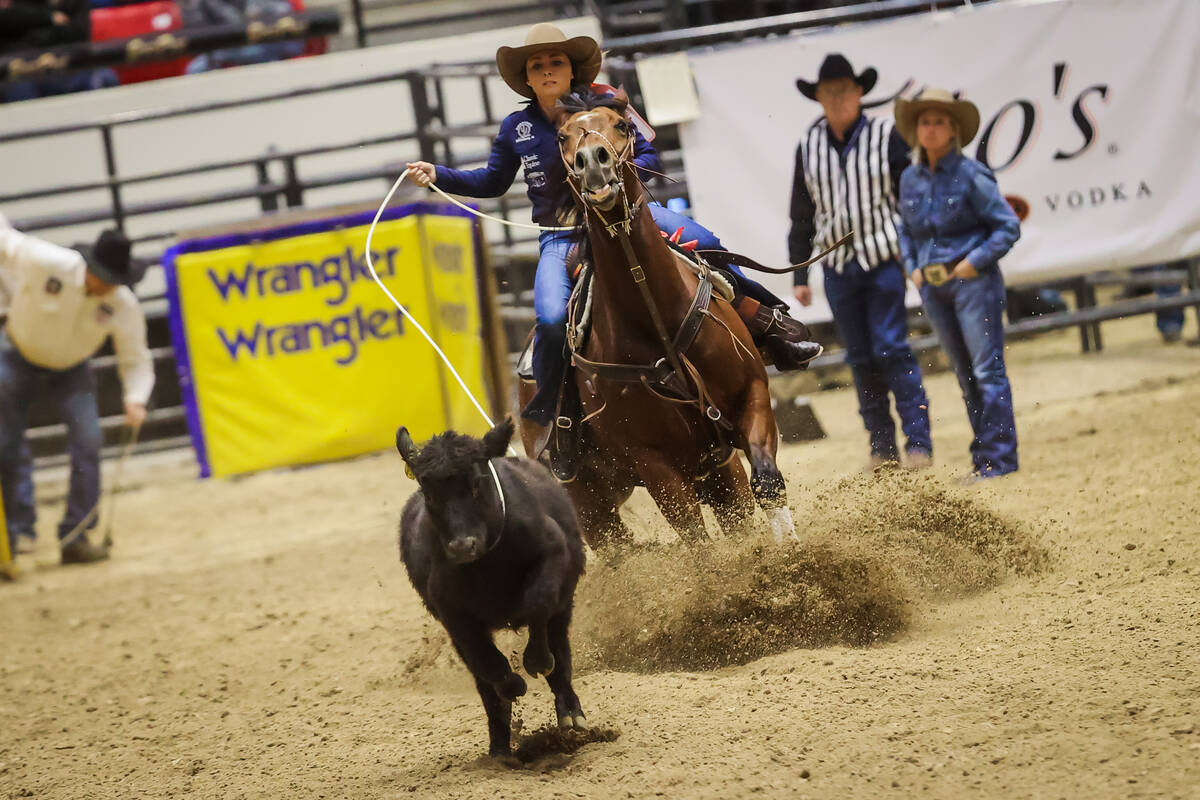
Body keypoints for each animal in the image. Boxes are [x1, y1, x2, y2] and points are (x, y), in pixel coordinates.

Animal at [396, 419, 588, 758]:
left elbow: (538, 605)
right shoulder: (453, 614)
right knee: (483, 678)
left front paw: (536, 661)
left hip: (564, 606)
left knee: (560, 656)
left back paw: (570, 714)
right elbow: (486, 660)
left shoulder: (552, 553)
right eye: (429, 493)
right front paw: (512, 686)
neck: (488, 562)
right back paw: (499, 747)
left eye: (475, 483)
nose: (462, 546)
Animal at [520, 92, 801, 544]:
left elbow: (768, 483)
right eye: (562, 137)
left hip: (719, 472)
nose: (592, 161)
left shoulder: (752, 398)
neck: (659, 324)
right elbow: (695, 537)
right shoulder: (655, 464)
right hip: (590, 502)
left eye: (622, 125)